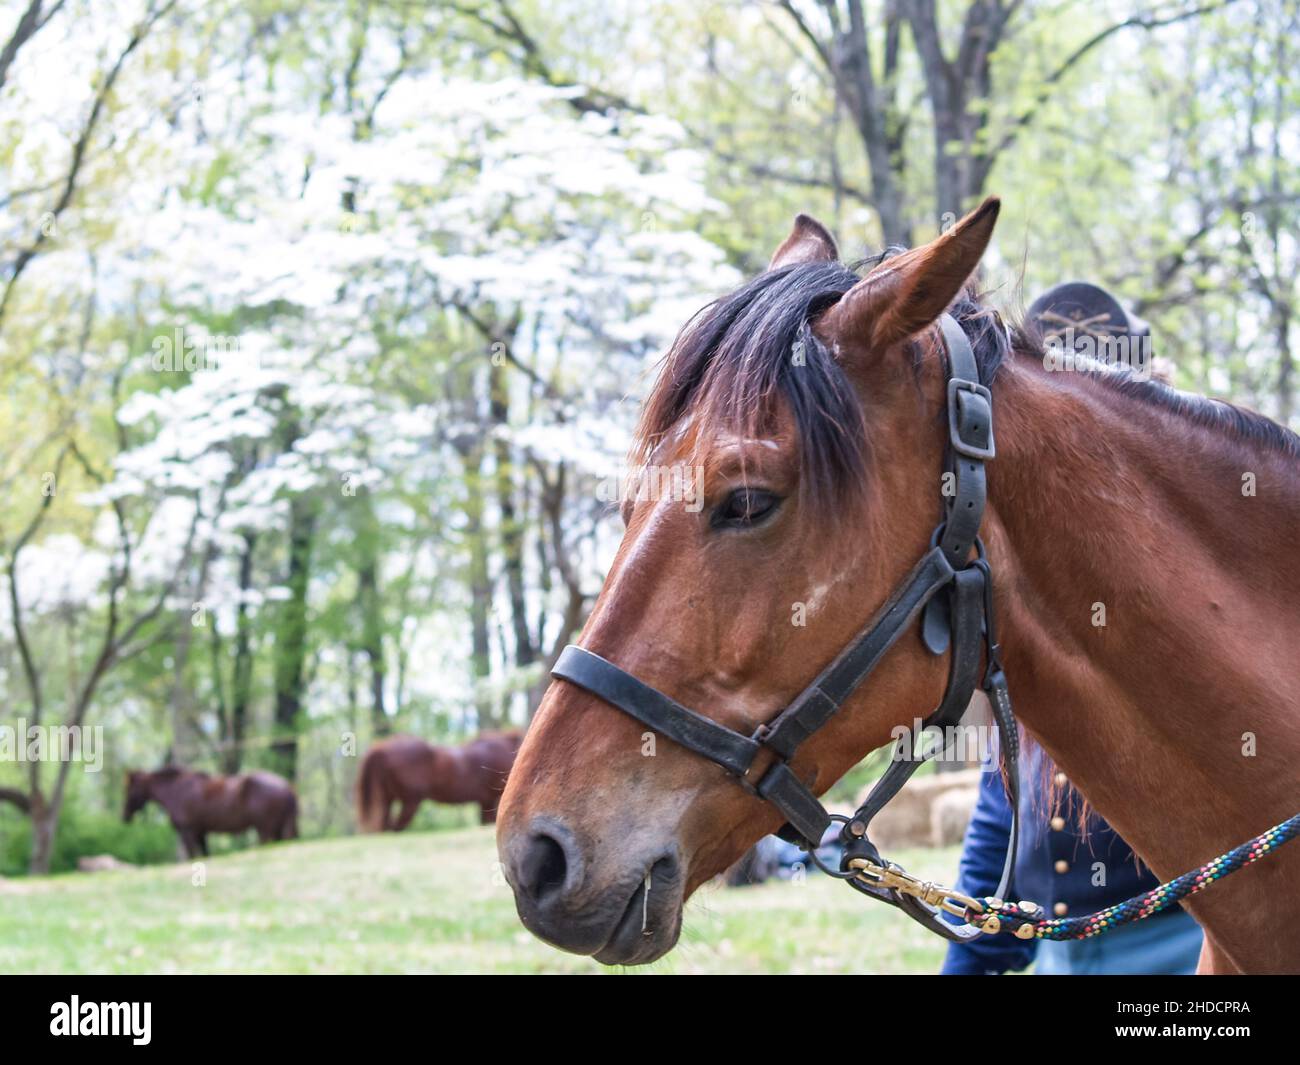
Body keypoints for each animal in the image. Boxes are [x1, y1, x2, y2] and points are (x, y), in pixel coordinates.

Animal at [123, 766, 298, 858]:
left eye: (129, 790)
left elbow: (193, 856)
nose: (125, 817)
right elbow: (205, 854)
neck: (175, 791)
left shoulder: (188, 832)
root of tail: (288, 787)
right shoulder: (201, 832)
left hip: (265, 830)